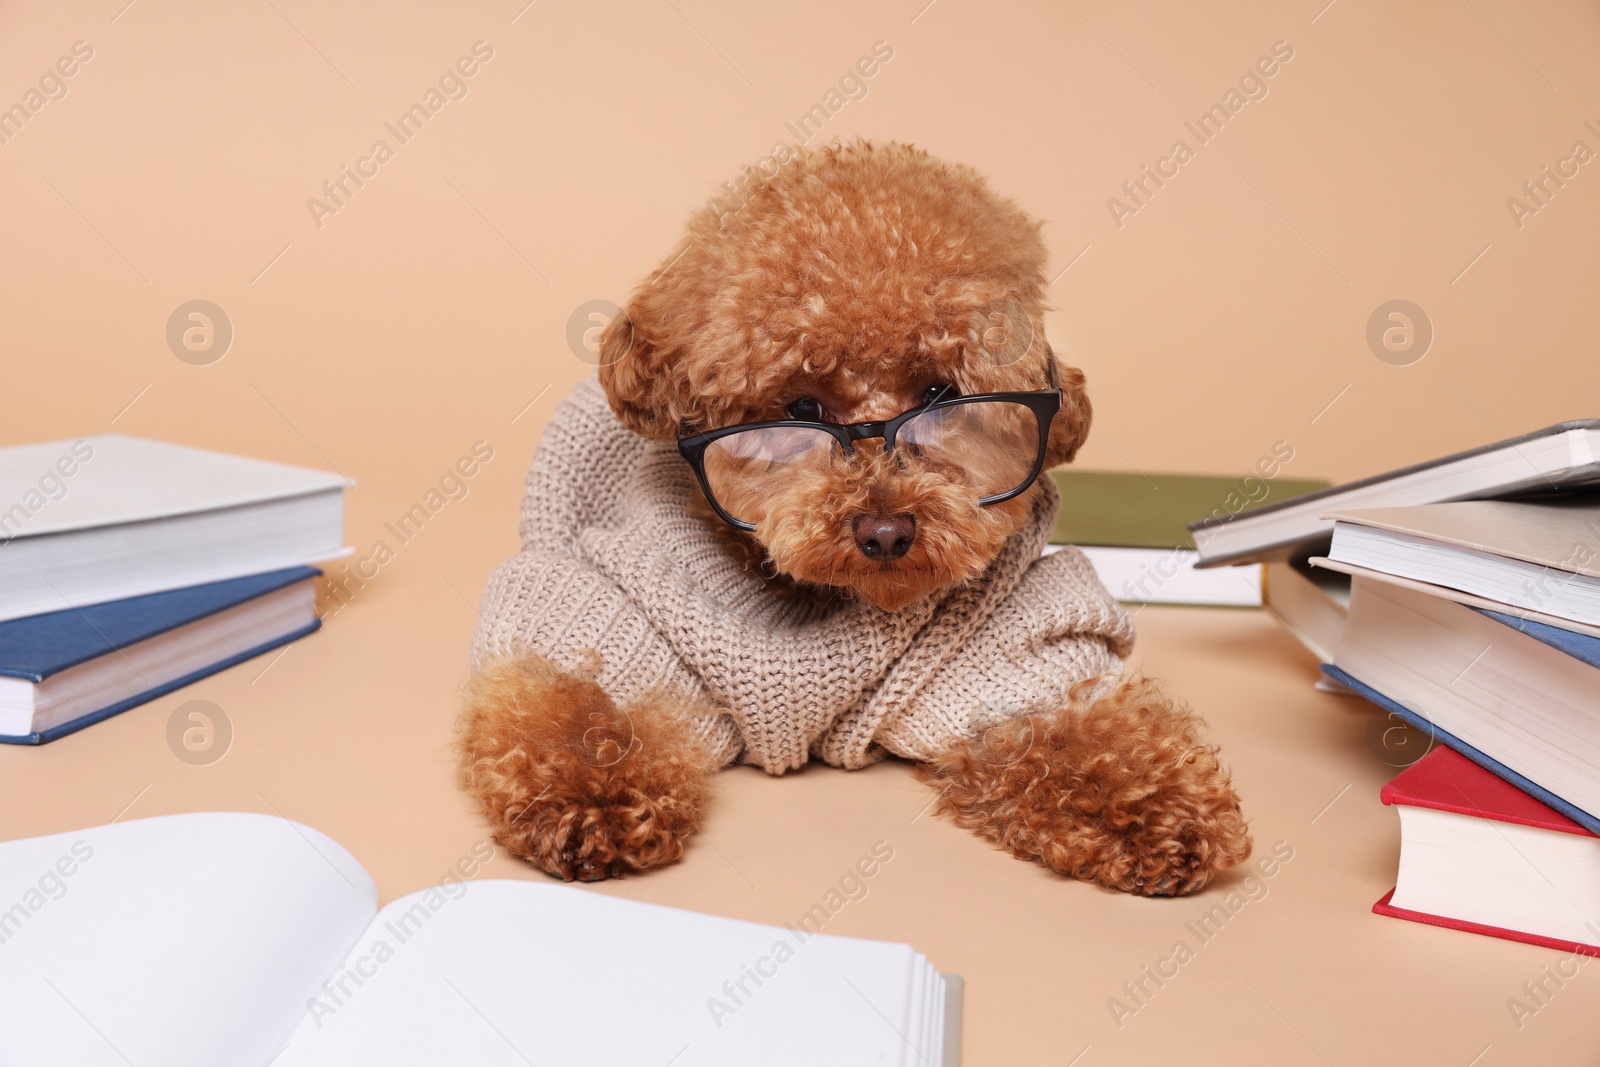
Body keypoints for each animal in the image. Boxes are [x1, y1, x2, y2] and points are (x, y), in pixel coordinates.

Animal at [454, 139, 1248, 895]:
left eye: (941, 395)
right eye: (801, 406)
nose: (886, 531)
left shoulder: (1008, 654)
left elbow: (1074, 730)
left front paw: (1156, 809)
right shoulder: (597, 607)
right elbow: (570, 705)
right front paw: (592, 795)